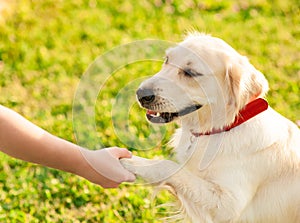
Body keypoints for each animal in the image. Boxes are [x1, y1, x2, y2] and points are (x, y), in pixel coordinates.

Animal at [120, 33, 300, 223]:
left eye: (190, 73)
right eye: (167, 59)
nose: (141, 94)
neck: (222, 129)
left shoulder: (229, 205)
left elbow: (167, 165)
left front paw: (132, 162)